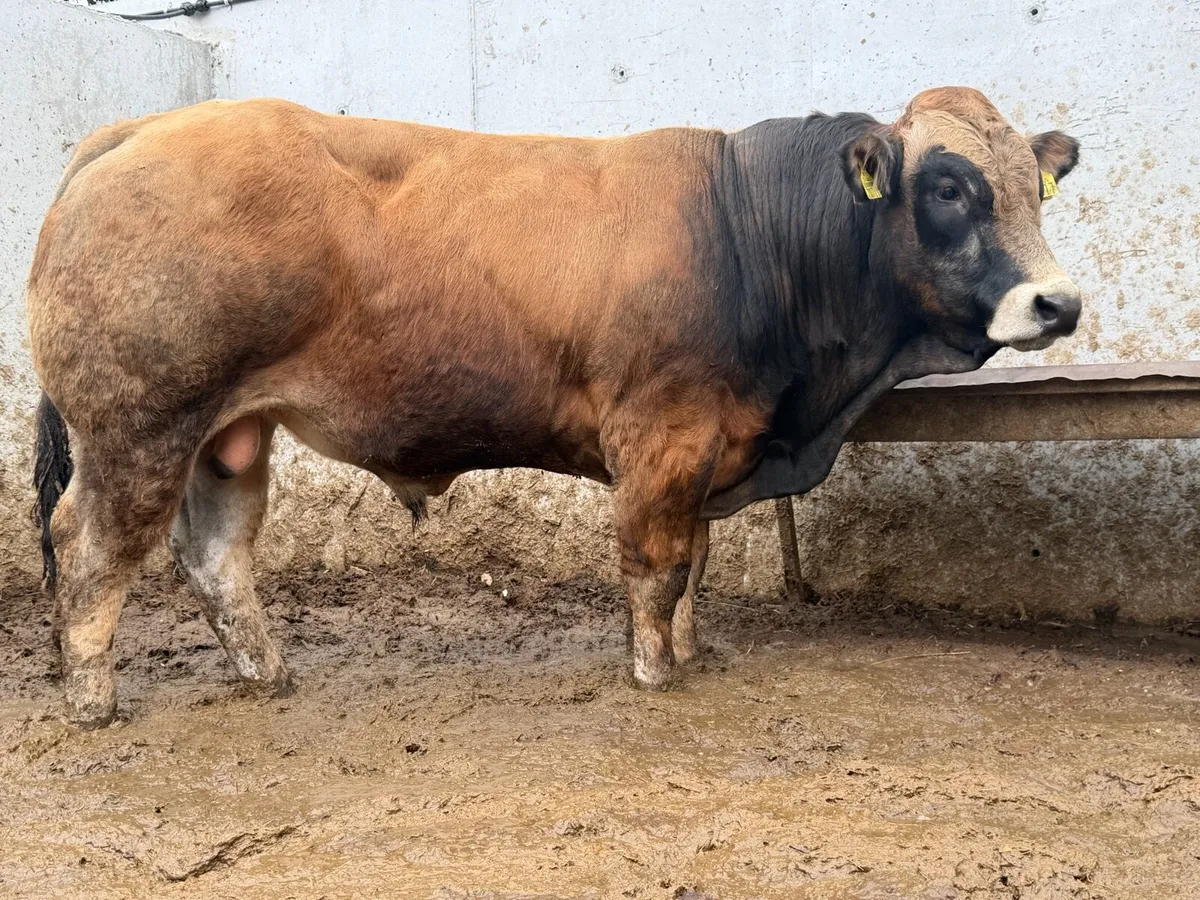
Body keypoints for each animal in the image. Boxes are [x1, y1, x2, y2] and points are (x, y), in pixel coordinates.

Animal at [27, 87, 1082, 728]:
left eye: (1036, 187)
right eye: (947, 187)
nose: (1058, 304)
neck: (749, 231)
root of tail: (139, 130)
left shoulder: (705, 450)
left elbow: (694, 569)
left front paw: (686, 656)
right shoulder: (662, 435)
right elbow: (657, 568)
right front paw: (655, 674)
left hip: (226, 434)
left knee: (214, 554)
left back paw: (268, 676)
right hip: (138, 426)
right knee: (90, 548)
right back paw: (92, 702)